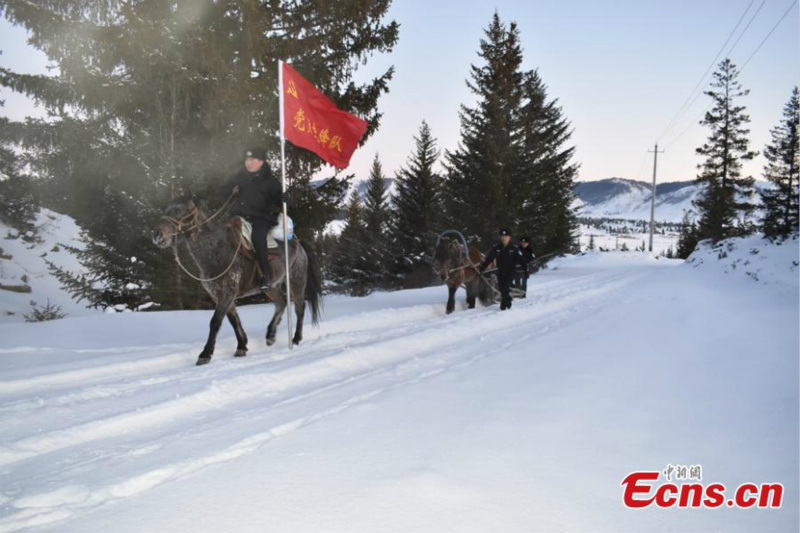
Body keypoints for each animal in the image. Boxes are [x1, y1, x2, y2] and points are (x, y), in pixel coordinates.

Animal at [153, 189, 322, 364]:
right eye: (166, 208)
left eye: (180, 209)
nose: (158, 235)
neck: (216, 250)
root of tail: (299, 244)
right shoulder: (219, 294)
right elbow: (233, 320)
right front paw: (242, 346)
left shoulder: (228, 292)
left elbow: (215, 321)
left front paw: (205, 354)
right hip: (271, 287)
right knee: (281, 303)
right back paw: (270, 335)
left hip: (296, 281)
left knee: (299, 307)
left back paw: (295, 339)